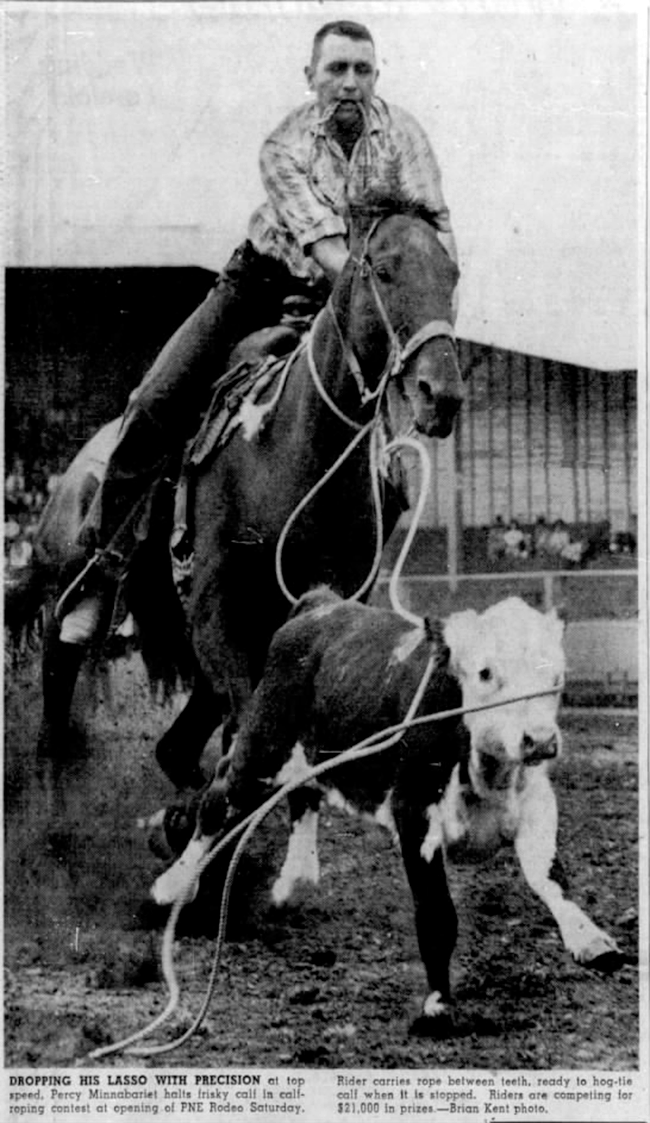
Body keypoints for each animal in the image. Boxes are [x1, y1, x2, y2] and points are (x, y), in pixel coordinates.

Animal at [152, 588, 624, 1033]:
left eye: (555, 672)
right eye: (486, 672)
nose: (539, 740)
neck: (485, 764)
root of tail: (320, 605)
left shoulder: (536, 803)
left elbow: (551, 877)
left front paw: (591, 939)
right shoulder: (414, 813)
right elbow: (437, 914)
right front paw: (437, 1006)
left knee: (303, 796)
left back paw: (294, 881)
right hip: (261, 749)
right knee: (217, 804)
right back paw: (173, 886)